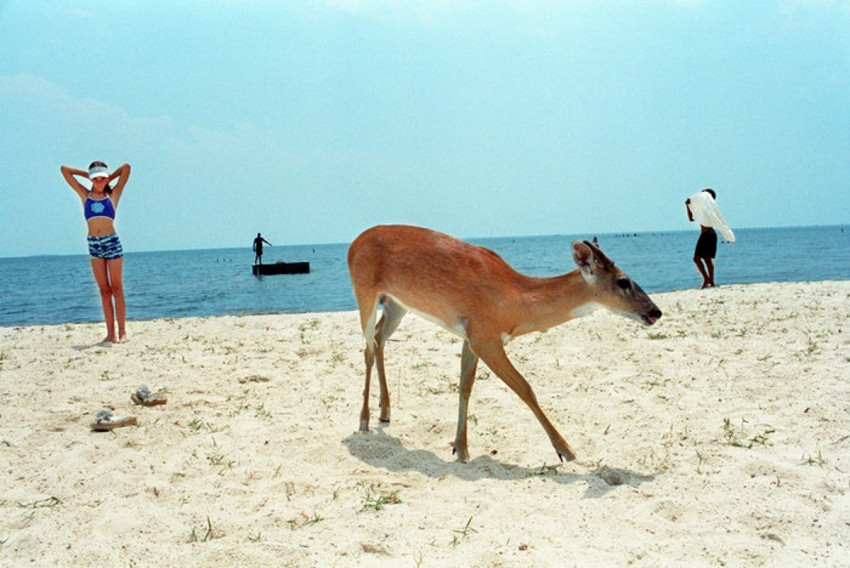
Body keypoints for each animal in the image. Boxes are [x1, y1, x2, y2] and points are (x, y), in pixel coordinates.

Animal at [346, 224, 664, 464]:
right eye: (623, 281)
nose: (655, 311)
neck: (514, 302)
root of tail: (352, 244)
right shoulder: (486, 338)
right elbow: (525, 387)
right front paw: (566, 451)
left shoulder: (472, 336)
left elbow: (465, 386)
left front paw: (460, 449)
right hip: (365, 292)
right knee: (367, 347)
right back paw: (363, 420)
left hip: (397, 304)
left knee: (379, 339)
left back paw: (385, 412)